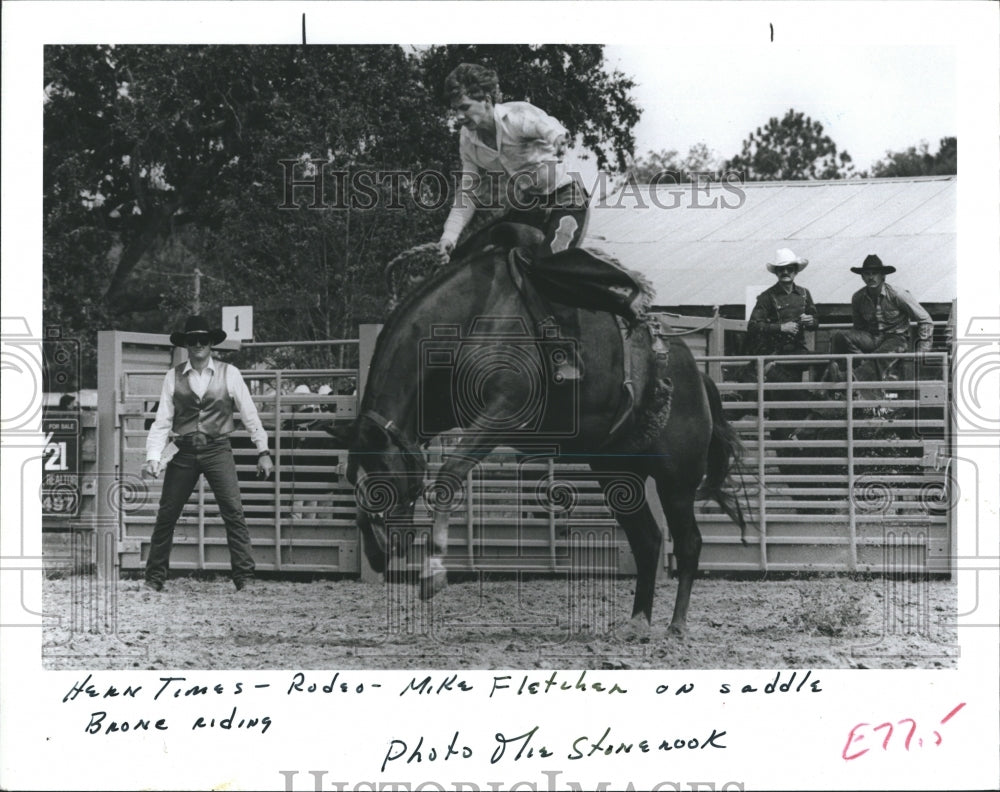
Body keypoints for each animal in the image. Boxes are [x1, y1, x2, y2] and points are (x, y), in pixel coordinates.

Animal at [330, 226, 745, 635]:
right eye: (353, 479)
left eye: (383, 479)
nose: (378, 552)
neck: (471, 317)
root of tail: (696, 374)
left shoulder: (504, 411)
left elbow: (449, 474)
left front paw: (433, 572)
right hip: (617, 472)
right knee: (648, 539)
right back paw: (637, 621)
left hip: (676, 477)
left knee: (688, 542)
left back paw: (676, 626)